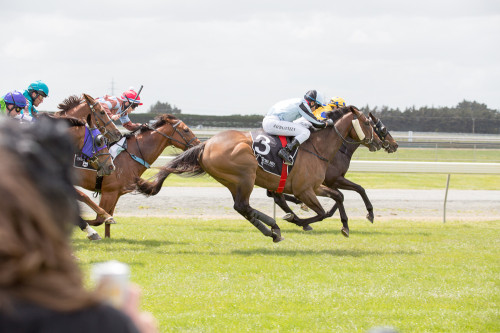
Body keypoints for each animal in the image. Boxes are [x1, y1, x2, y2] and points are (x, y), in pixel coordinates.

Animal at [135, 104, 380, 241]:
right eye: (368, 123)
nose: (378, 142)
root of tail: (206, 144)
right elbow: (321, 212)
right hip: (246, 176)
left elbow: (338, 197)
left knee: (242, 207)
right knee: (243, 206)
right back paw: (274, 227)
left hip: (233, 181)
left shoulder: (315, 186)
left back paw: (272, 230)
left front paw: (346, 226)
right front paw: (296, 219)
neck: (317, 146)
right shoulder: (304, 190)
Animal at [268, 111, 400, 228]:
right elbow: (357, 189)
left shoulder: (330, 182)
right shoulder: (333, 179)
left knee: (276, 196)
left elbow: (343, 194)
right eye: (383, 129)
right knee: (278, 197)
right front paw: (369, 213)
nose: (395, 145)